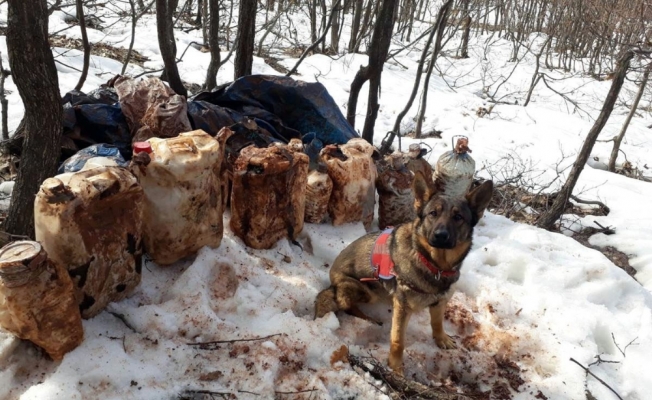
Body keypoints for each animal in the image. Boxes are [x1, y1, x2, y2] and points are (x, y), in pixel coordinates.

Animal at [314, 172, 492, 376]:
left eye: (458, 217)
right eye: (433, 213)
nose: (440, 235)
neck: (434, 265)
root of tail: (332, 280)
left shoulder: (440, 302)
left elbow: (437, 323)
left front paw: (441, 339)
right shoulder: (402, 307)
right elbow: (398, 340)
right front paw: (396, 368)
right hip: (363, 289)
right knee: (347, 305)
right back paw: (369, 319)